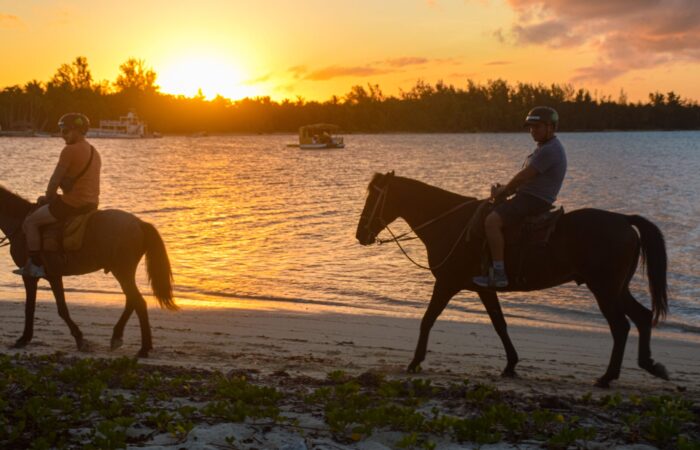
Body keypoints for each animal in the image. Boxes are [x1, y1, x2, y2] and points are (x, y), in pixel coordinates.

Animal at [0, 186, 176, 357]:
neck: (21, 223)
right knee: (132, 301)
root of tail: (140, 224)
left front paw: (25, 339)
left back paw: (143, 348)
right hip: (123, 273)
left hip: (122, 272)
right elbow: (52, 307)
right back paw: (118, 337)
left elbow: (42, 308)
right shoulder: (51, 276)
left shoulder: (34, 277)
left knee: (138, 302)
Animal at [356, 172, 670, 388]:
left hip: (604, 289)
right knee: (642, 317)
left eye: (374, 198)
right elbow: (499, 324)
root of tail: (624, 220)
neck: (451, 224)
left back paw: (607, 377)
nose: (360, 234)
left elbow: (427, 319)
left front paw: (415, 361)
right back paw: (648, 365)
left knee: (621, 326)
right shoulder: (483, 288)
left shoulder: (446, 283)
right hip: (616, 288)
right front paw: (510, 365)